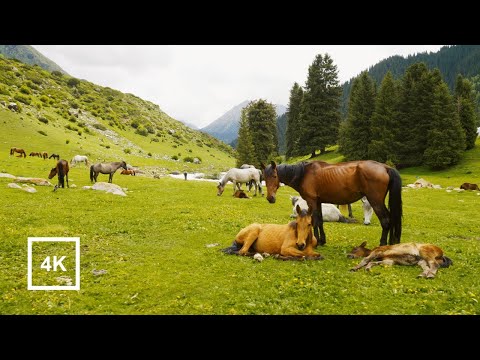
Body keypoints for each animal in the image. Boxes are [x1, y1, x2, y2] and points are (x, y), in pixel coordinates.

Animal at [260, 161, 404, 248]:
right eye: (264, 177)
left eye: (274, 176)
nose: (270, 198)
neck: (304, 173)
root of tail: (386, 167)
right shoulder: (318, 202)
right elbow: (320, 221)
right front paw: (322, 240)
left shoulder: (311, 201)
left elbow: (314, 221)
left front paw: (314, 242)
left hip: (375, 201)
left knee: (386, 221)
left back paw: (382, 245)